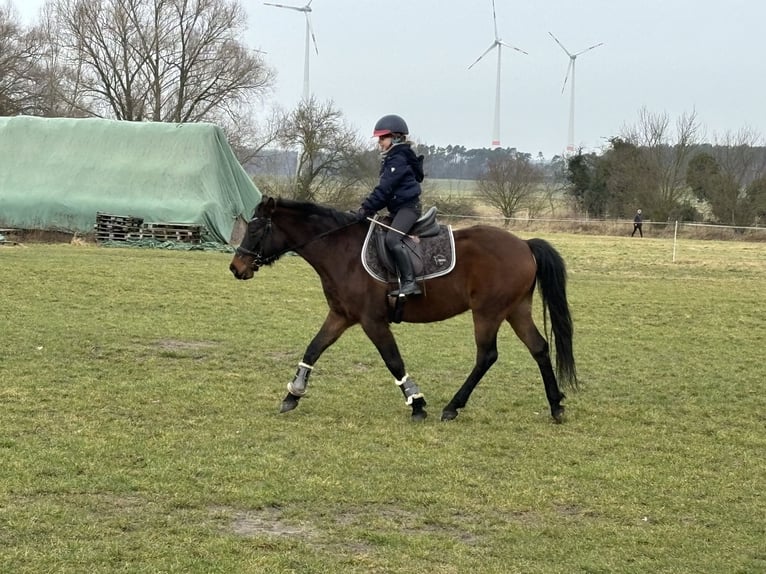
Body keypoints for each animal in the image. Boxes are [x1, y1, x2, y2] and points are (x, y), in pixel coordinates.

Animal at [231, 197, 580, 424]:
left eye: (257, 229)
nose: (236, 268)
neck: (340, 250)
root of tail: (523, 244)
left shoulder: (372, 321)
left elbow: (393, 361)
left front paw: (417, 403)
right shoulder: (341, 316)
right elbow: (314, 348)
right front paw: (293, 394)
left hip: (488, 313)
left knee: (487, 356)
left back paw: (453, 407)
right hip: (515, 309)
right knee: (539, 347)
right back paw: (556, 406)